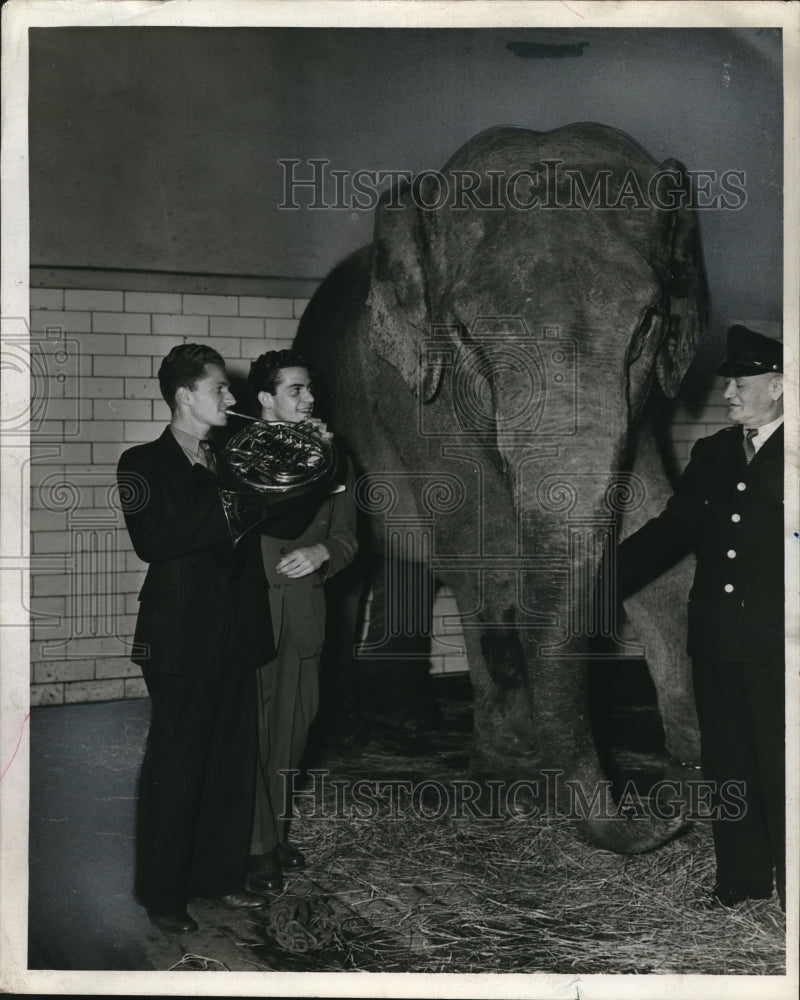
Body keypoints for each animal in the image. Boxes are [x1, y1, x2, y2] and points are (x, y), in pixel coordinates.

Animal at [296, 121, 708, 848]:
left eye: (647, 325)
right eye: (467, 335)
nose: (661, 812)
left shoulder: (644, 407)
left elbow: (661, 539)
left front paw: (697, 764)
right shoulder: (417, 399)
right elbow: (485, 547)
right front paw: (510, 774)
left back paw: (416, 720)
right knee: (347, 579)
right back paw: (348, 733)